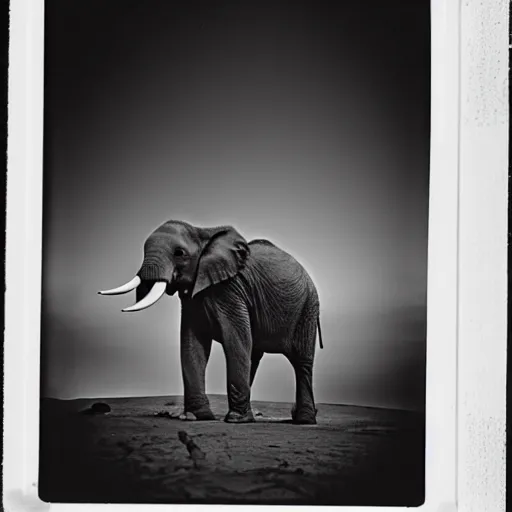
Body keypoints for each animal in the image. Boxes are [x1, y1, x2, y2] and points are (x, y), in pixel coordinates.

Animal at [100, 220, 324, 424]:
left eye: (179, 253)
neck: (203, 232)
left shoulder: (231, 289)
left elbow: (235, 339)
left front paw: (236, 420)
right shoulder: (194, 296)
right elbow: (192, 344)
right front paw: (198, 416)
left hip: (308, 308)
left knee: (301, 361)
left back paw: (303, 421)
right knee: (253, 354)